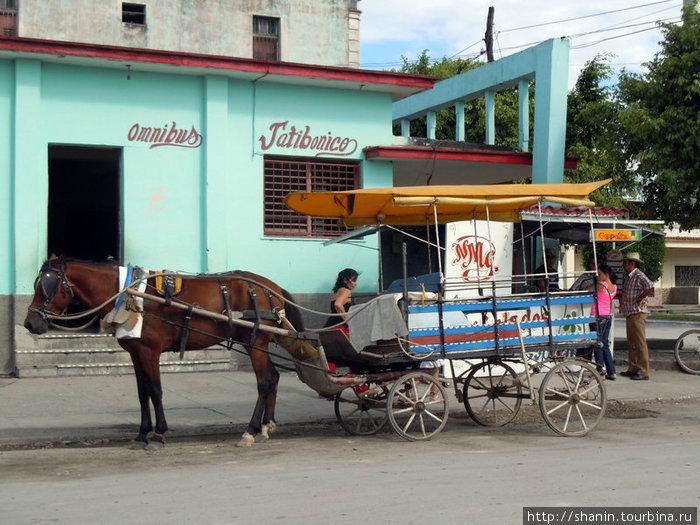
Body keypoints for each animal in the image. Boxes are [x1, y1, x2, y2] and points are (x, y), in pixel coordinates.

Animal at [23, 254, 308, 446]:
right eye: (37, 283)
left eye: (47, 286)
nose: (30, 323)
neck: (129, 295)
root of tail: (272, 289)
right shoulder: (135, 352)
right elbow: (142, 393)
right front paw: (142, 433)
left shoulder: (150, 351)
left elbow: (156, 390)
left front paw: (158, 432)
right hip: (257, 343)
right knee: (273, 377)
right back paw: (266, 425)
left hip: (256, 342)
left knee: (264, 382)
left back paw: (250, 430)